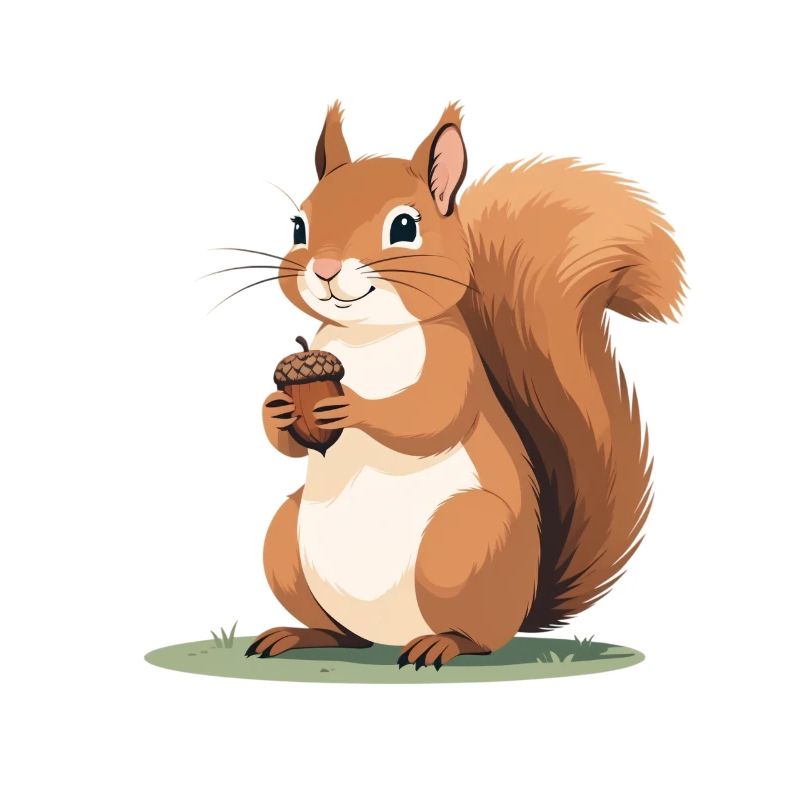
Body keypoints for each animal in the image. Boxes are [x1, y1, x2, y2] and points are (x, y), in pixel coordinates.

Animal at [246, 102, 684, 669]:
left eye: (404, 226)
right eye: (298, 225)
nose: (323, 268)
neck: (367, 334)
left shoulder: (454, 362)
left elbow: (430, 416)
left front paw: (353, 408)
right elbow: (288, 443)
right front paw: (277, 409)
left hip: (461, 541)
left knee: (480, 637)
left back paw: (442, 644)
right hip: (287, 540)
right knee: (344, 634)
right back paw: (300, 636)